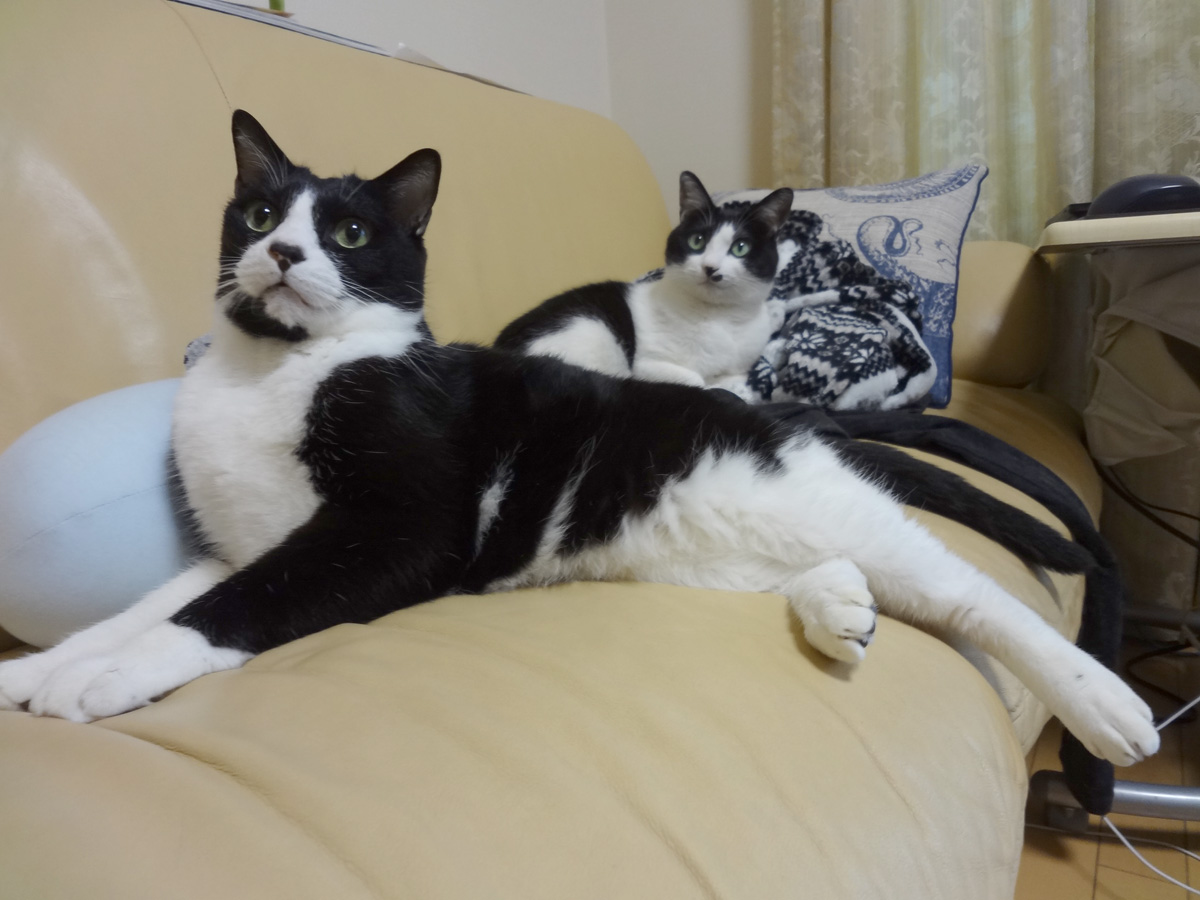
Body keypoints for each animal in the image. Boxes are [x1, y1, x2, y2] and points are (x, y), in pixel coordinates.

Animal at [494, 172, 793, 399]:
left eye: (740, 248)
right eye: (697, 241)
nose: (710, 268)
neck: (721, 318)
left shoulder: (741, 362)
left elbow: (735, 378)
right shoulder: (647, 364)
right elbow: (696, 379)